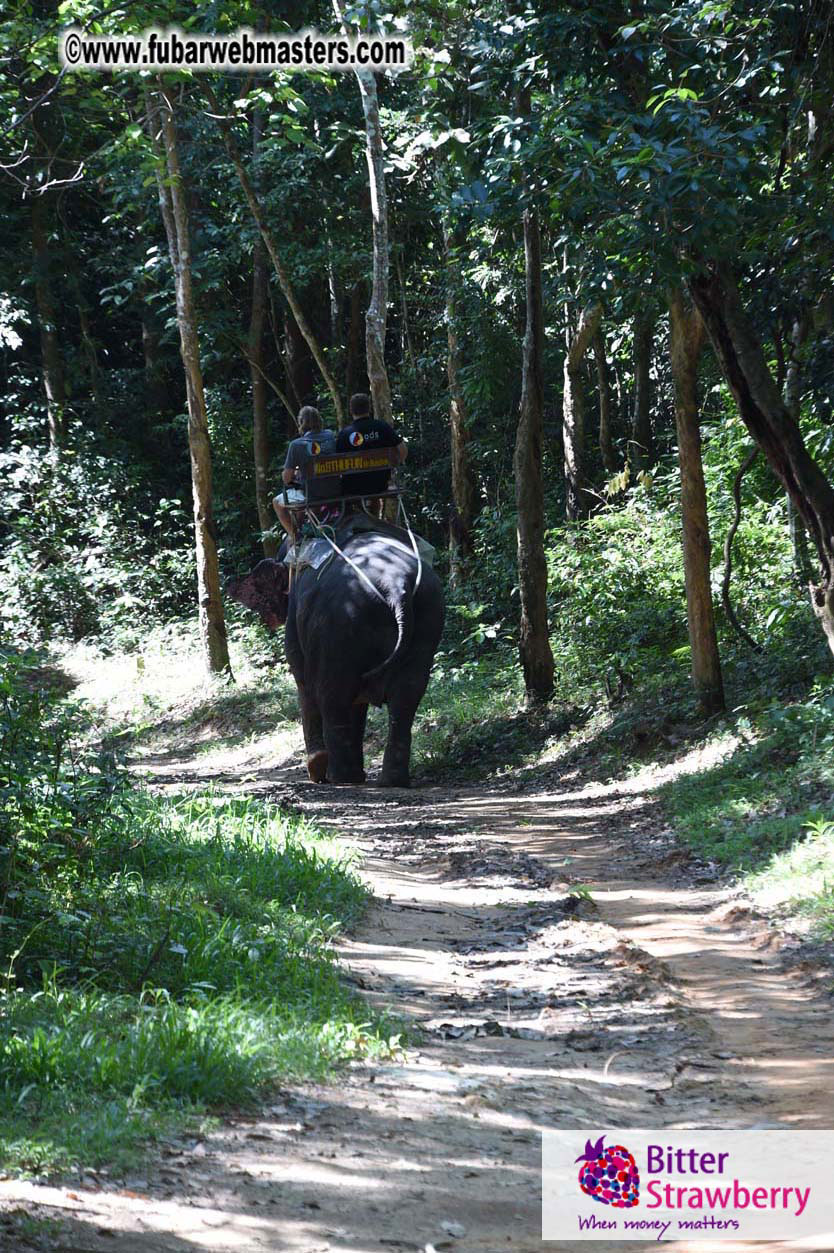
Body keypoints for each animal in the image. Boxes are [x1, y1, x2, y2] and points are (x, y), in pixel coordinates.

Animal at [228, 531, 444, 787]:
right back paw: (390, 781)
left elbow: (304, 682)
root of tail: (396, 586)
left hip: (338, 624)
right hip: (427, 618)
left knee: (332, 695)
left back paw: (339, 776)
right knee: (407, 696)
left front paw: (316, 769)